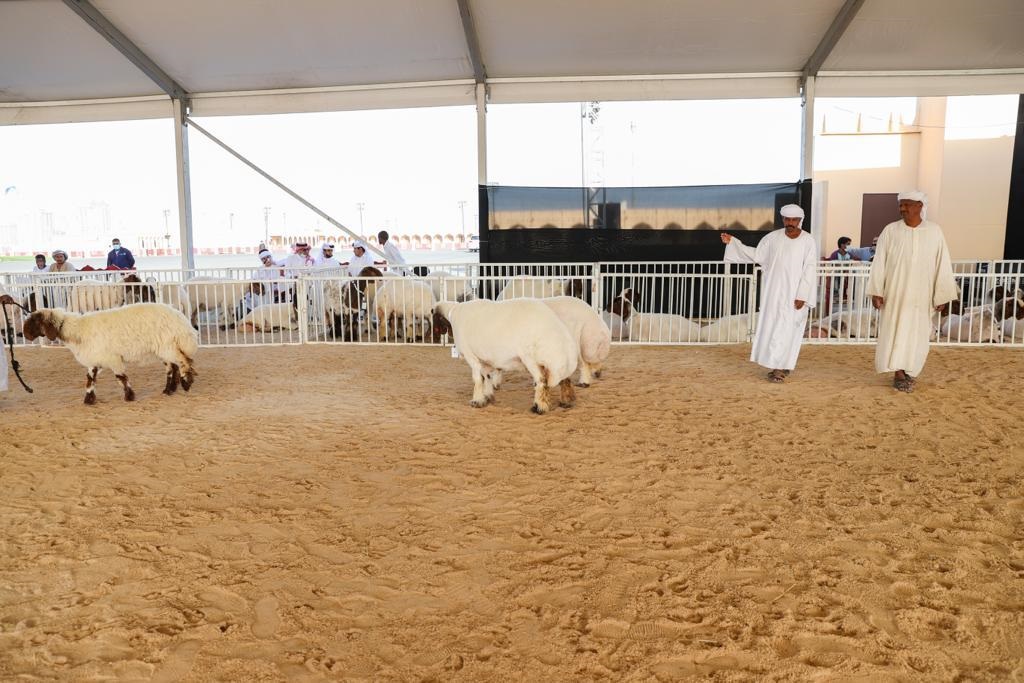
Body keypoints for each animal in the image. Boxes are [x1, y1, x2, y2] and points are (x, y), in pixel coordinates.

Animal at [23, 301, 198, 403]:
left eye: (35, 321)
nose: (25, 334)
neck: (76, 331)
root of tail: (181, 320)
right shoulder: (96, 359)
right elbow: (90, 380)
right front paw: (89, 399)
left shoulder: (112, 358)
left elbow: (121, 378)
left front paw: (129, 396)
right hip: (164, 346)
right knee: (172, 367)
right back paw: (169, 389)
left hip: (167, 344)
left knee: (183, 361)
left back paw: (186, 384)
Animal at [430, 296, 577, 413]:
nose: (437, 336)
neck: (453, 314)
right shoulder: (484, 358)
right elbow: (487, 377)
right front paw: (487, 397)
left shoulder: (471, 356)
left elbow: (477, 379)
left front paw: (476, 401)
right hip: (555, 363)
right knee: (565, 379)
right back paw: (566, 402)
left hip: (530, 358)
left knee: (541, 380)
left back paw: (539, 407)